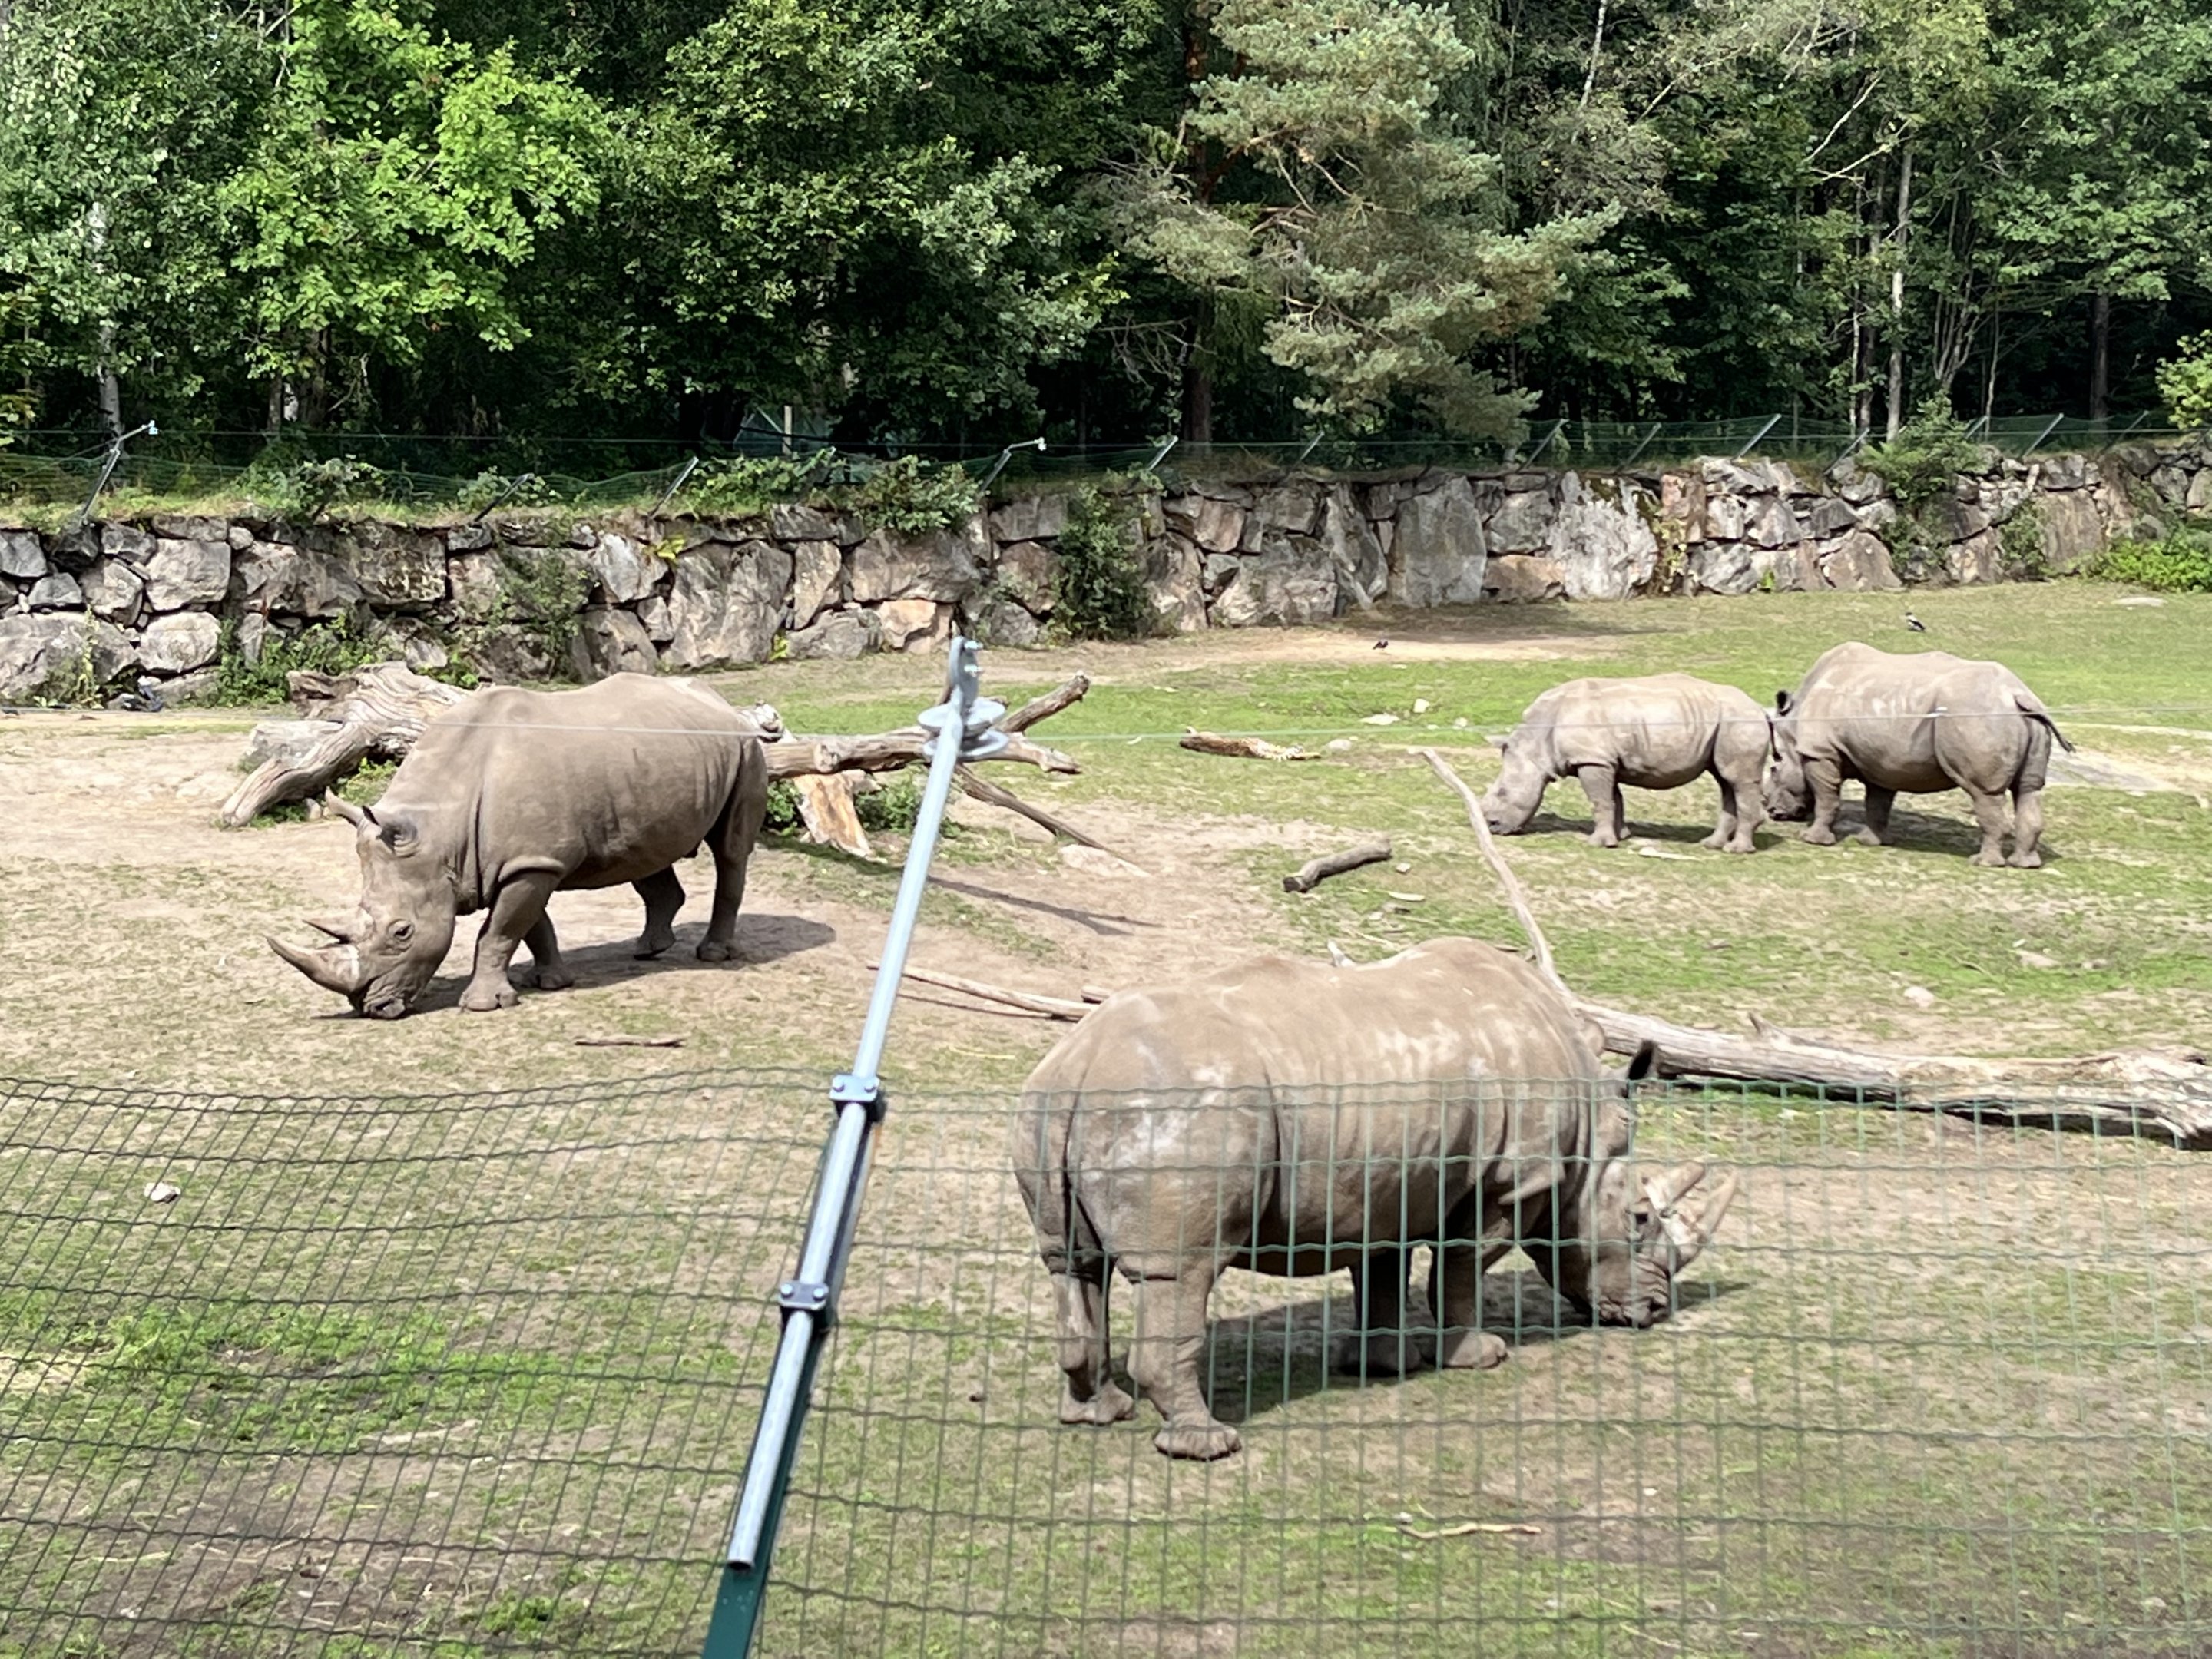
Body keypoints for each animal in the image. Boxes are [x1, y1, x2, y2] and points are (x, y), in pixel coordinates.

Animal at [271, 675, 770, 1018]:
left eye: (402, 932)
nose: (372, 1009)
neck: (439, 830)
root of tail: (722, 703)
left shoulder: (532, 863)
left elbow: (500, 930)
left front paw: (481, 1006)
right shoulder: (526, 861)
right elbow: (530, 926)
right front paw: (549, 982)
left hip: (746, 749)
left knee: (730, 851)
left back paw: (713, 954)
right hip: (655, 760)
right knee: (646, 853)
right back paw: (648, 949)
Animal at [1012, 938, 1737, 1460]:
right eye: (1638, 1219)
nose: (1654, 1310)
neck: (1587, 1137)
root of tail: (1080, 1062)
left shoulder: (1387, 1175)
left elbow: (1382, 1267)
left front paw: (1382, 1365)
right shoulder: (1508, 1178)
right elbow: (1462, 1266)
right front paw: (1480, 1357)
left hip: (1053, 1109)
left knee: (1073, 1266)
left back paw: (1098, 1414)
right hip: (1181, 1113)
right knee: (1180, 1272)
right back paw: (1209, 1446)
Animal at [1478, 674, 1770, 852]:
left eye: (1502, 792)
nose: (1493, 827)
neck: (1536, 742)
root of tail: (1758, 707)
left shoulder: (1593, 759)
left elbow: (1600, 801)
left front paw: (1598, 843)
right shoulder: (1605, 760)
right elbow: (1614, 799)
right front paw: (1620, 837)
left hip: (1739, 719)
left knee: (1738, 781)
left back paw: (1736, 850)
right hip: (1725, 722)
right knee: (1725, 781)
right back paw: (1711, 844)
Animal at [1764, 642, 2074, 867]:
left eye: (1774, 766)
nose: (1773, 812)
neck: (1793, 723)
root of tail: (2017, 695)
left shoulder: (1820, 752)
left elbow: (1828, 797)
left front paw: (1812, 840)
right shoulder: (1880, 760)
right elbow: (1877, 803)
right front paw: (1870, 842)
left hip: (1975, 717)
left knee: (1984, 793)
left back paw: (1983, 863)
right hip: (2017, 718)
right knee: (2029, 790)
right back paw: (2026, 864)